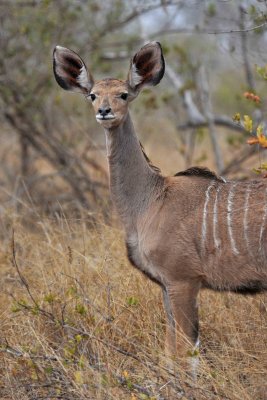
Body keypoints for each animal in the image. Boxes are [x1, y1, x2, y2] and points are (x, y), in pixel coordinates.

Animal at [53, 42, 267, 364]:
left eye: (123, 94)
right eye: (92, 95)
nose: (104, 111)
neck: (151, 200)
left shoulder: (183, 280)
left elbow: (187, 351)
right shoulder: (166, 285)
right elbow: (170, 348)